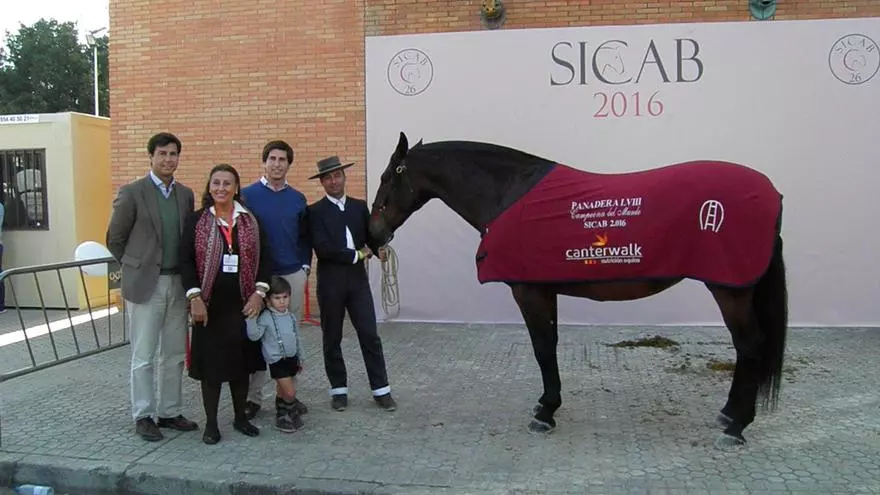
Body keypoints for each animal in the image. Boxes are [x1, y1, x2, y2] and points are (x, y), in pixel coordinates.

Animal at [368, 131, 788, 449]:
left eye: (388, 177)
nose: (373, 235)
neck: (508, 194)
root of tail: (772, 194)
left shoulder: (529, 292)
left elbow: (542, 348)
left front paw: (545, 413)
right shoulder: (544, 290)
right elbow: (549, 346)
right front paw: (547, 404)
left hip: (730, 290)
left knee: (750, 345)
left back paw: (736, 426)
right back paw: (728, 415)